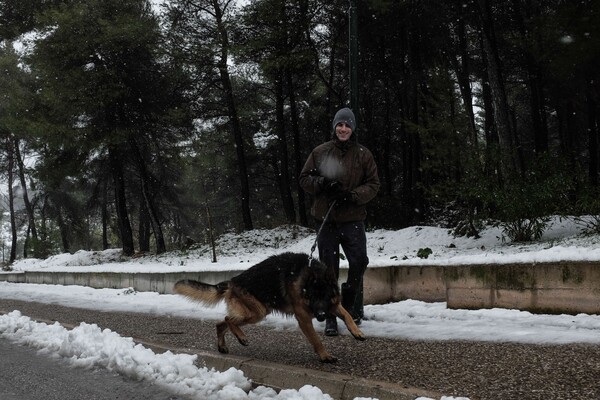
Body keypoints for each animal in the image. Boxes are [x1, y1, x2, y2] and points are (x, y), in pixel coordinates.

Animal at [173, 253, 366, 362]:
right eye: (312, 297)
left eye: (325, 296)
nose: (320, 316)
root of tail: (232, 281)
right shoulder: (304, 318)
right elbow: (316, 339)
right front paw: (325, 356)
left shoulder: (333, 305)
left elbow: (347, 315)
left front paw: (357, 332)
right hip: (257, 312)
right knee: (228, 319)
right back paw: (241, 337)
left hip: (255, 312)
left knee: (221, 323)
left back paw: (223, 346)